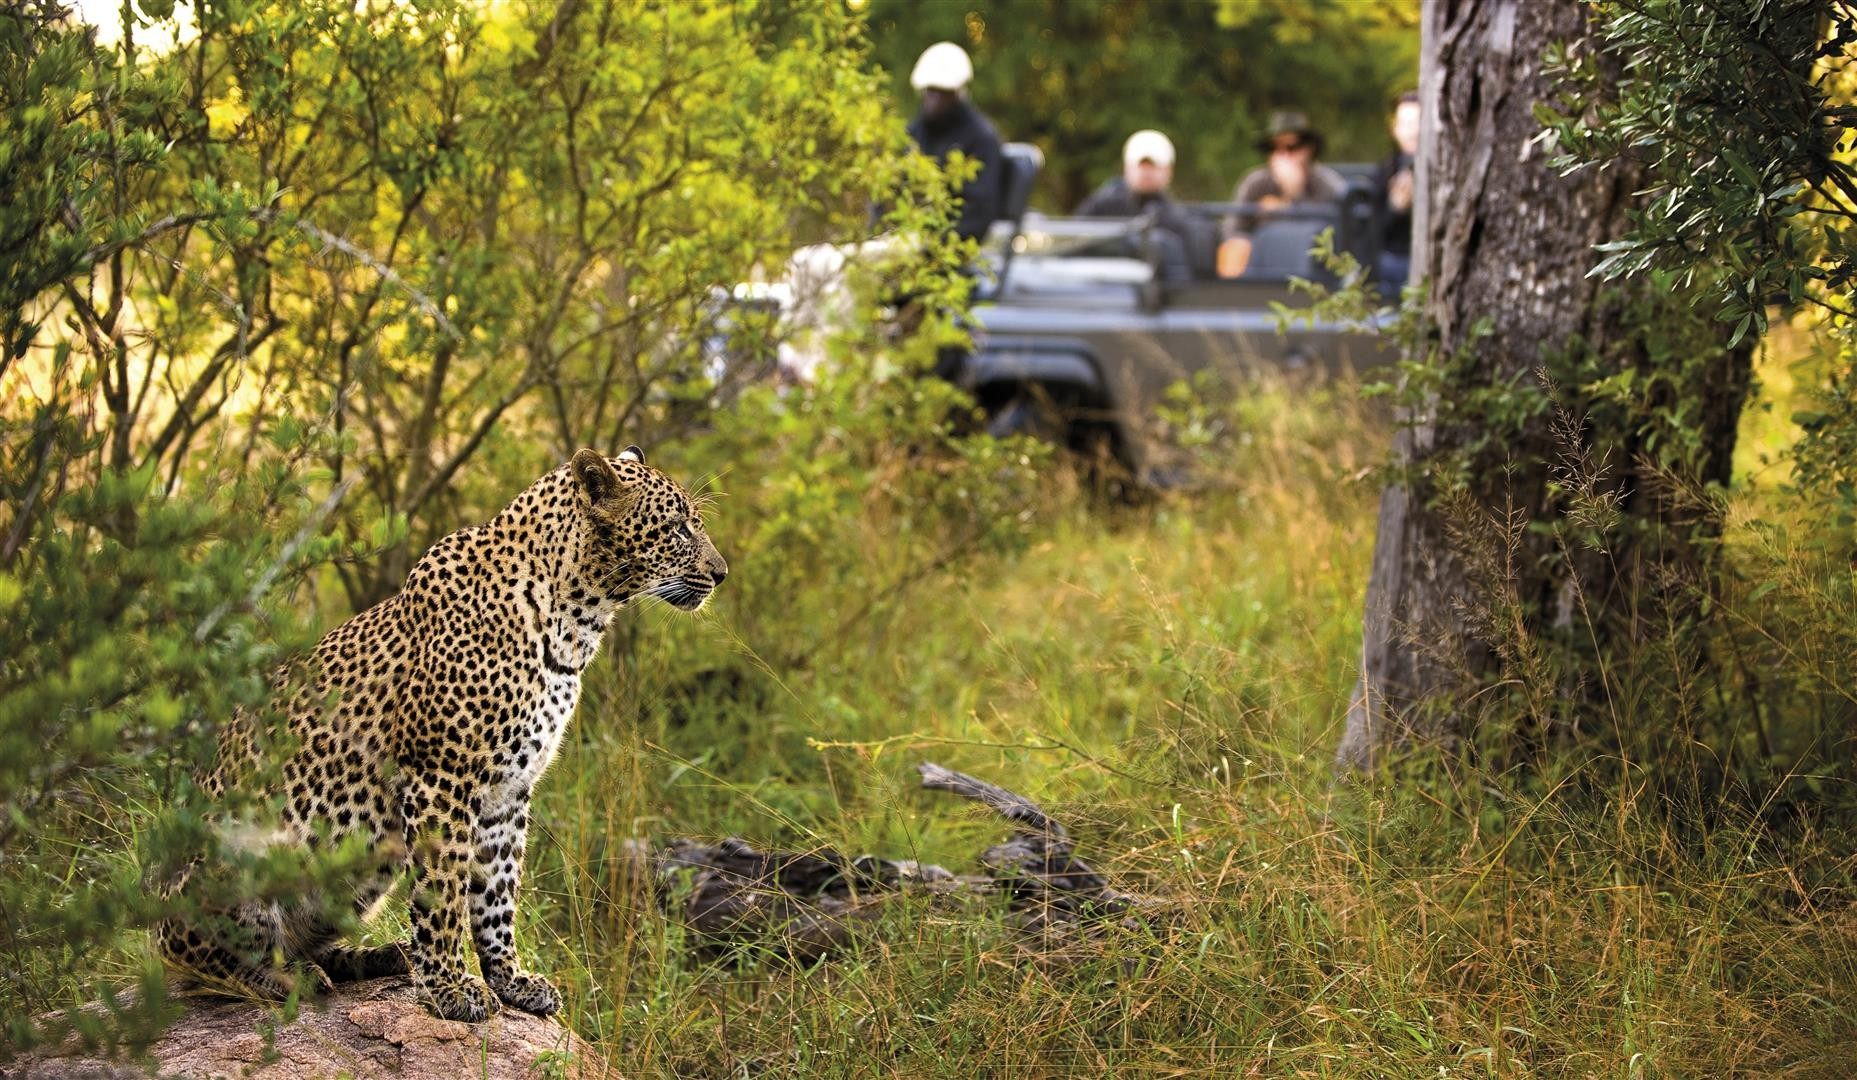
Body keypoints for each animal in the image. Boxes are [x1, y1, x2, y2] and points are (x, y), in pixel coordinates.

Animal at [157, 447, 724, 1024]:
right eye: (678, 527)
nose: (721, 574)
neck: (576, 622)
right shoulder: (442, 778)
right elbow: (444, 891)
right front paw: (451, 988)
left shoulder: (509, 791)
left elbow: (496, 892)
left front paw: (510, 980)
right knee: (206, 962)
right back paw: (289, 979)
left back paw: (379, 957)